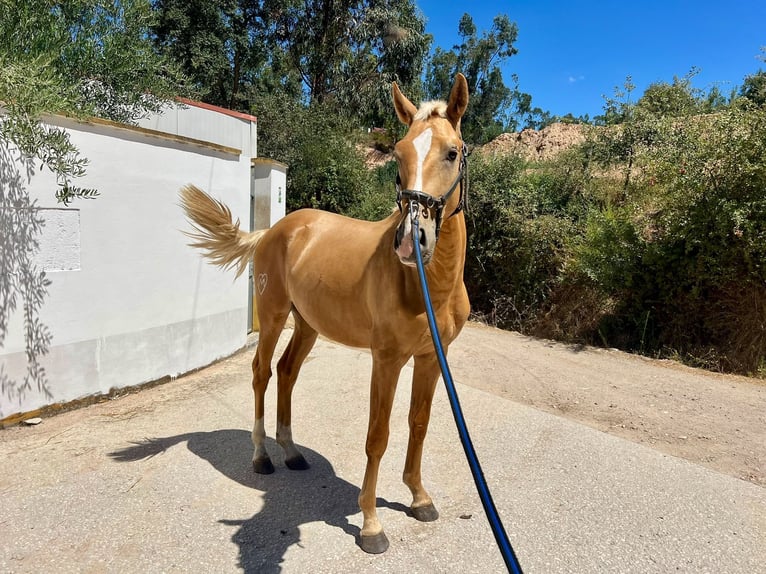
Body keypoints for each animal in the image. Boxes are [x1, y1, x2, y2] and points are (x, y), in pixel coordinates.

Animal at [179, 73, 470, 554]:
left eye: (451, 152)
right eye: (400, 153)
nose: (411, 240)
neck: (429, 287)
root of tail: (275, 230)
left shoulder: (432, 357)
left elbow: (419, 424)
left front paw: (419, 498)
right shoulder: (386, 360)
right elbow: (377, 435)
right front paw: (371, 523)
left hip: (308, 324)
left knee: (286, 371)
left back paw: (292, 453)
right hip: (274, 316)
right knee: (261, 372)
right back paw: (262, 457)